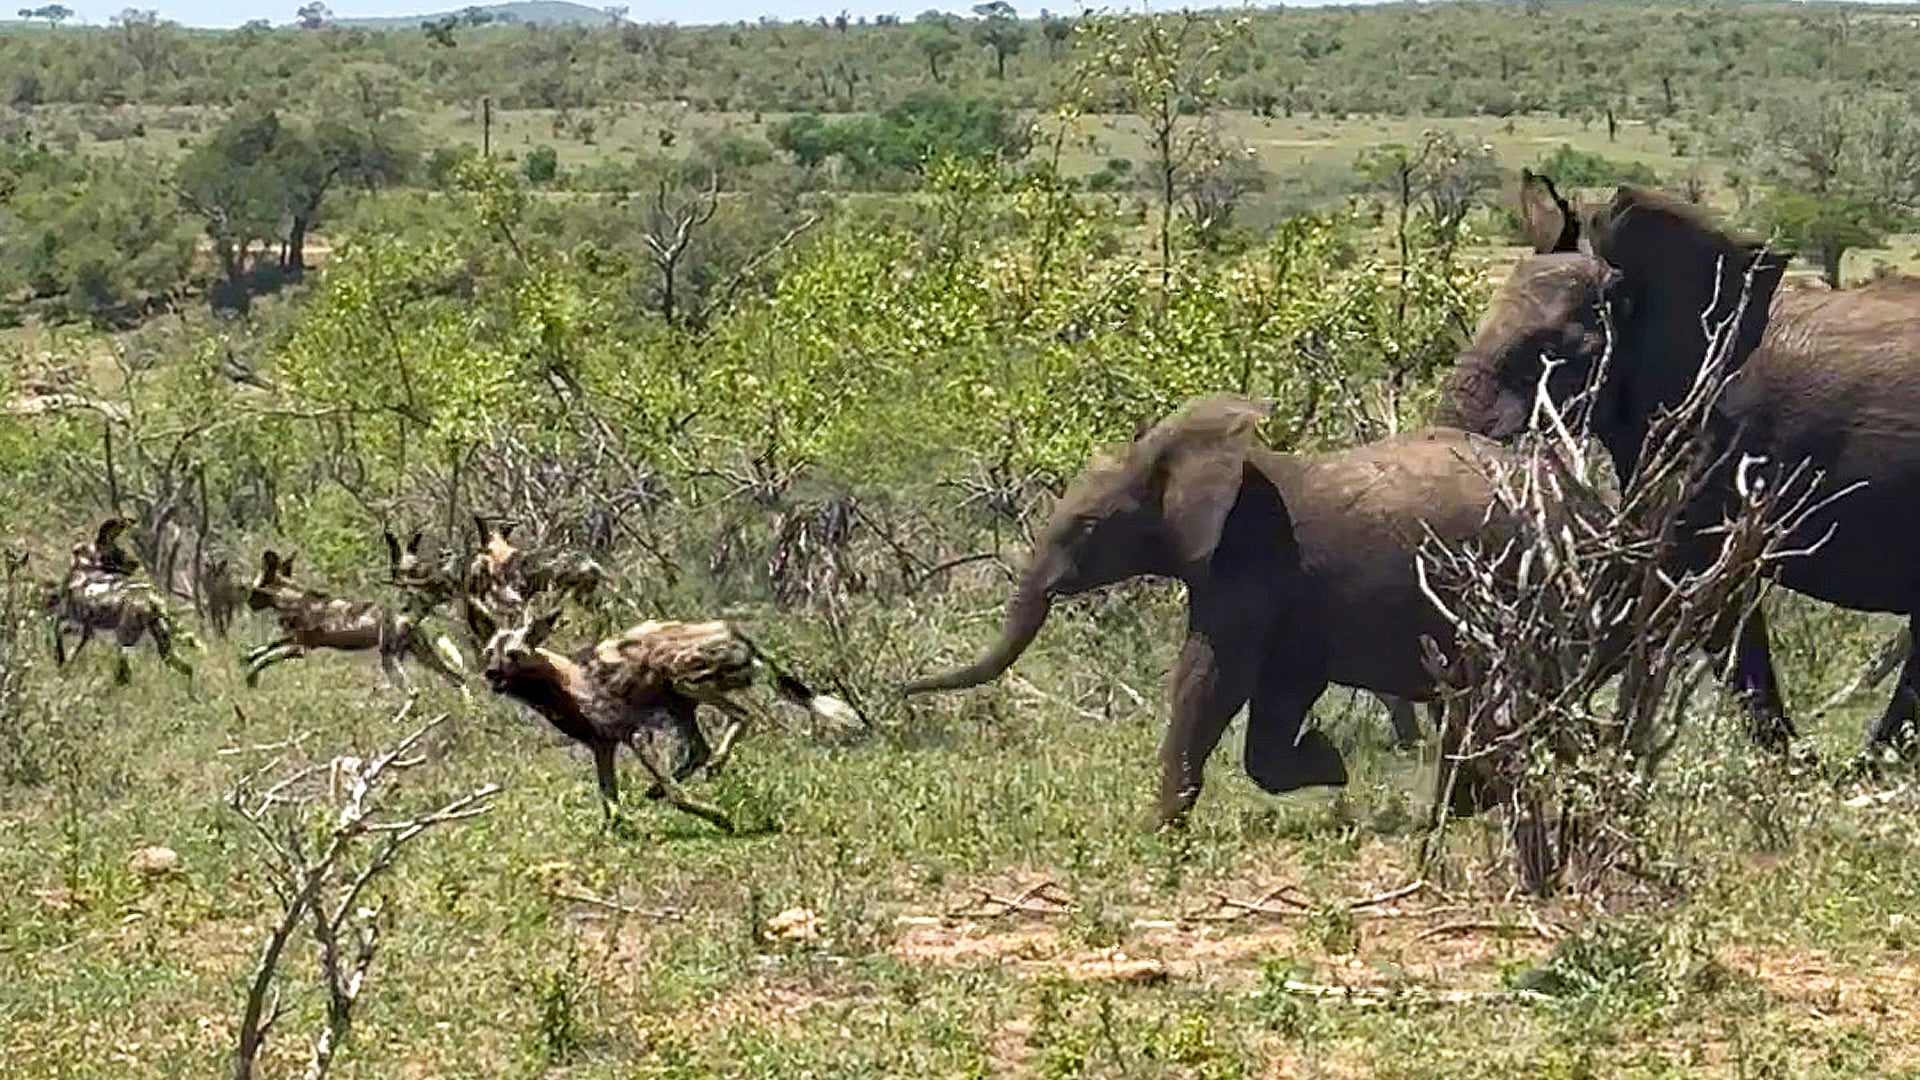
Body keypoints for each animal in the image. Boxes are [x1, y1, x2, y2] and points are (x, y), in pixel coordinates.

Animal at [900, 393, 1547, 825]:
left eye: (1085, 526)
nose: (903, 689)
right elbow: (1278, 692)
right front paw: (1329, 762)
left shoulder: (1248, 564)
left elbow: (1211, 677)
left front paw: (1162, 829)